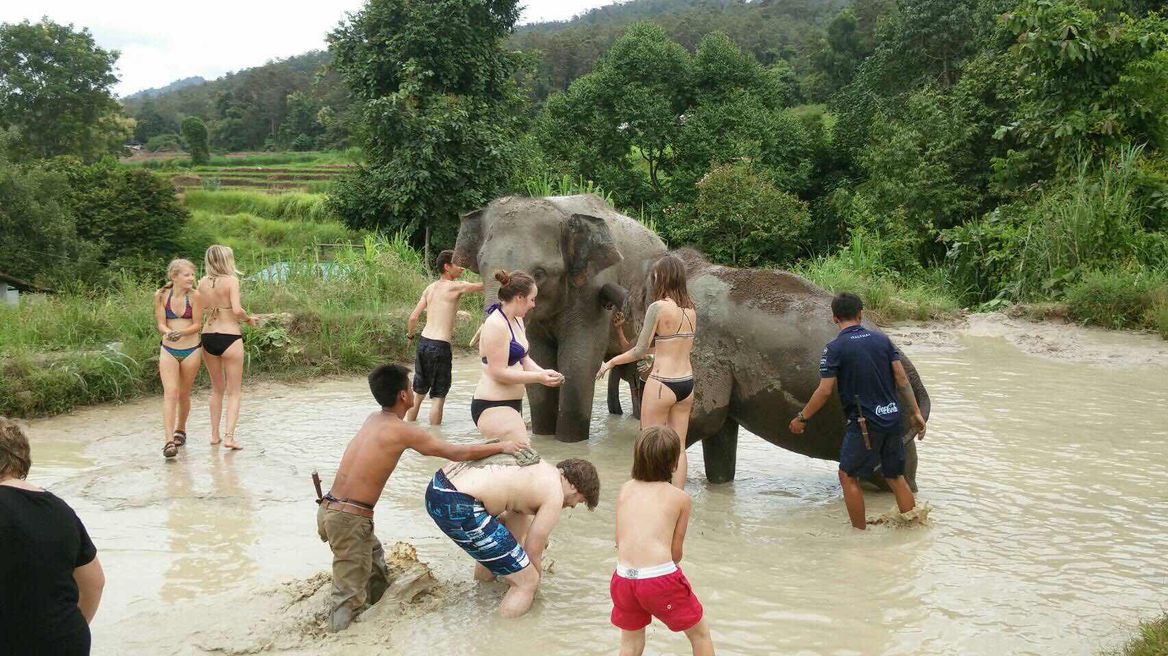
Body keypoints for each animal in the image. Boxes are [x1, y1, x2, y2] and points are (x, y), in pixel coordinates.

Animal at [452, 194, 666, 442]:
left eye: (539, 273)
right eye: (482, 266)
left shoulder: (590, 288)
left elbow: (578, 362)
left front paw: (570, 443)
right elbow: (539, 356)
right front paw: (544, 437)